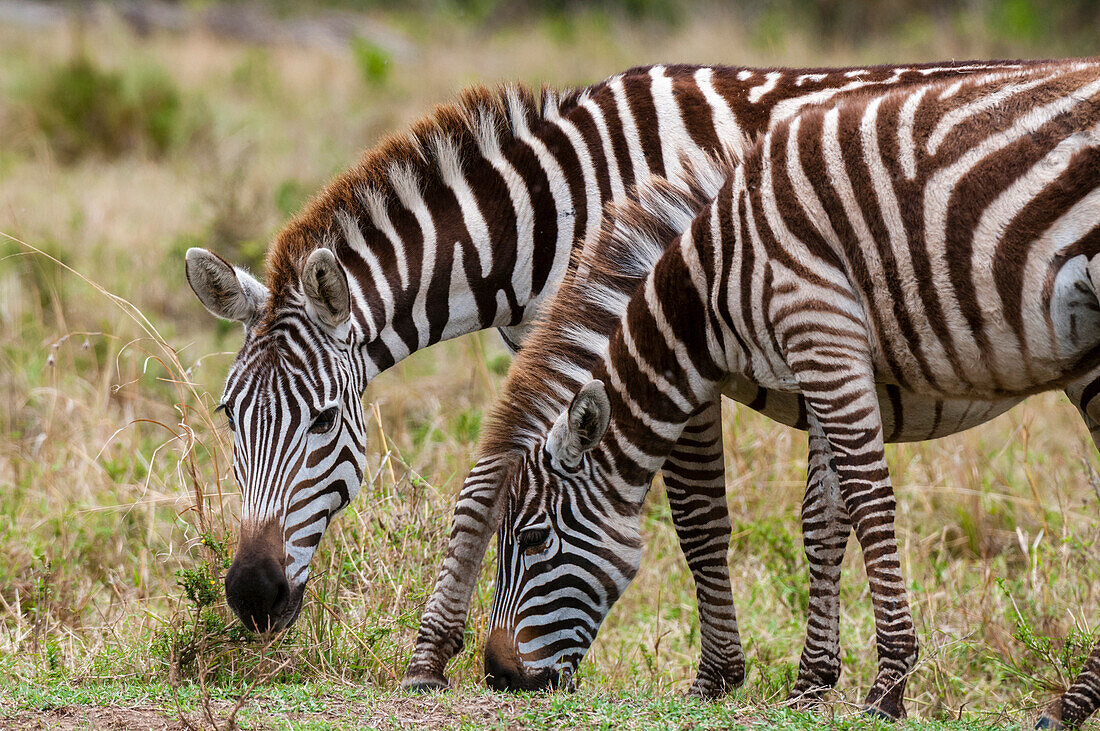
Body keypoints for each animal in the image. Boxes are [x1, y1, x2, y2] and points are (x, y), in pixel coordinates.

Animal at [178, 58, 1029, 690]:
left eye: (324, 420)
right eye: (229, 416)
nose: (251, 595)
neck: (556, 211)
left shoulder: (668, 335)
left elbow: (697, 516)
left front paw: (717, 674)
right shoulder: (554, 344)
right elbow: (488, 483)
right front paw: (431, 654)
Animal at [468, 61, 1100, 725]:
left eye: (534, 538)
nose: (498, 676)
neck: (715, 279)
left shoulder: (820, 328)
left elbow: (864, 504)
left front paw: (885, 687)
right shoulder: (825, 360)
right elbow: (824, 515)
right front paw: (813, 685)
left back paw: (1069, 703)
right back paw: (1072, 704)